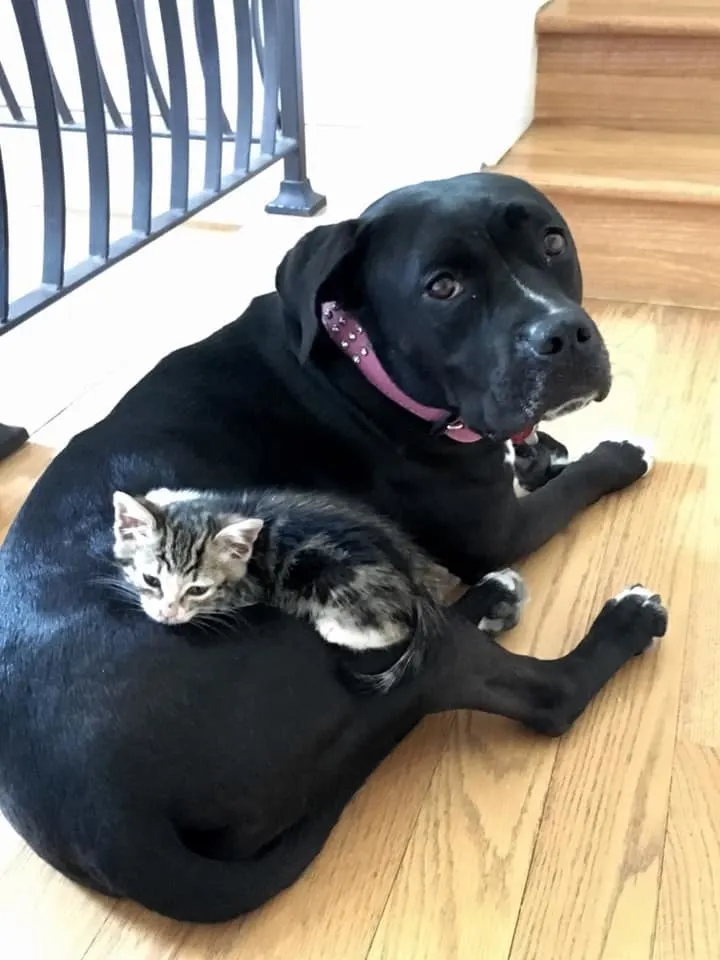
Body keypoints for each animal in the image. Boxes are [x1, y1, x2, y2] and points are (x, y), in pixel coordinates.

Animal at [109, 488, 448, 688]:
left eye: (197, 590)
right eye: (151, 580)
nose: (167, 614)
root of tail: (413, 574)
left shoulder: (249, 588)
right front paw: (159, 494)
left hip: (332, 577)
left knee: (396, 628)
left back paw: (335, 628)